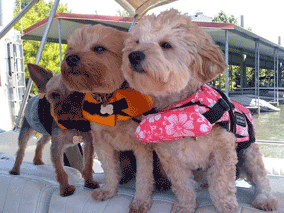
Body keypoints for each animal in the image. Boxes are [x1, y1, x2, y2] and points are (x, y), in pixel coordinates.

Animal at [122, 8, 278, 213]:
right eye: (137, 42)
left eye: (166, 45)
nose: (134, 55)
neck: (181, 107)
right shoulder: (171, 158)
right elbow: (182, 185)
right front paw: (185, 206)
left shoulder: (224, 150)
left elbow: (221, 183)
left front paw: (227, 206)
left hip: (248, 152)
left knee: (261, 178)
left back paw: (265, 199)